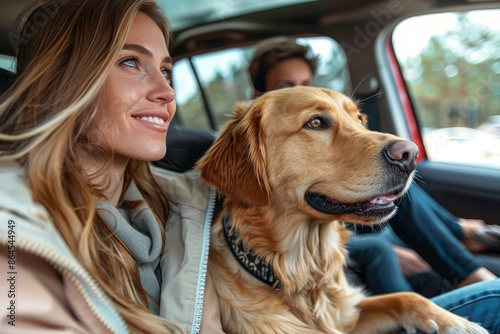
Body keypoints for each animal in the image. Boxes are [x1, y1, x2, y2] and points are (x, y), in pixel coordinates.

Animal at [195, 87, 488, 334]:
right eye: (315, 123)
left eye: (359, 119)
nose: (410, 154)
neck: (303, 275)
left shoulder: (348, 311)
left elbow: (405, 297)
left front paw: (454, 322)